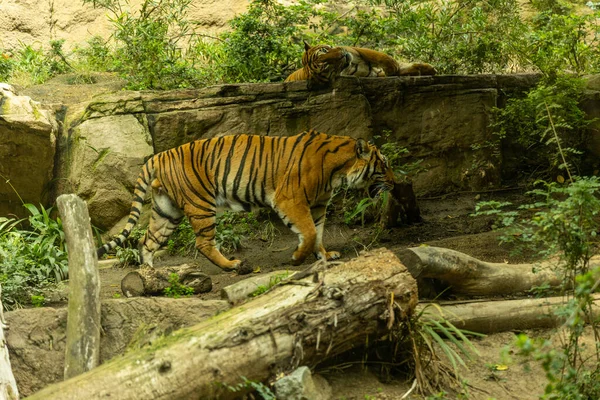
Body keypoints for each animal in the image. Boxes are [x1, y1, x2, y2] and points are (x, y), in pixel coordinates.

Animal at [96, 131, 396, 272]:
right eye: (384, 166)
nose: (395, 183)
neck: (338, 172)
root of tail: (159, 155)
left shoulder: (319, 205)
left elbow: (319, 232)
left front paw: (324, 255)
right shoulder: (289, 200)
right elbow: (309, 232)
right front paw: (298, 258)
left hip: (166, 211)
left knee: (146, 242)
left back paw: (149, 274)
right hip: (201, 204)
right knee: (203, 243)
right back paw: (232, 265)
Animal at [286, 41, 436, 85]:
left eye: (324, 50)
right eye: (326, 65)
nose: (342, 54)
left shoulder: (355, 50)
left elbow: (381, 56)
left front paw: (427, 68)